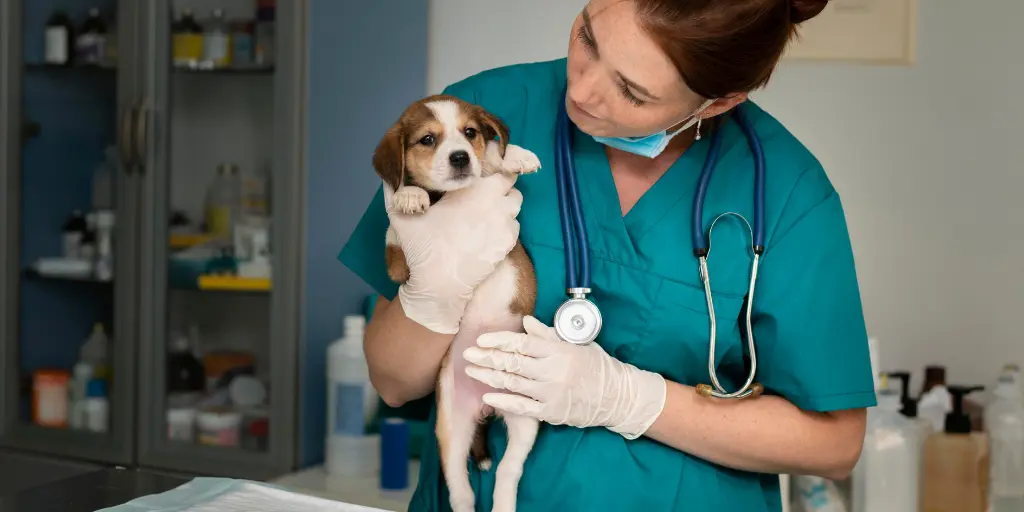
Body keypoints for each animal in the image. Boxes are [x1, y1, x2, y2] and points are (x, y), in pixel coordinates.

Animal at [370, 93, 544, 512]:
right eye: (427, 140)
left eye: (470, 133)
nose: (461, 157)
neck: (450, 197)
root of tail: (486, 406)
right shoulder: (397, 264)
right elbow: (396, 228)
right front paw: (408, 195)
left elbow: (493, 161)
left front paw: (512, 156)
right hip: (450, 428)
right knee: (459, 487)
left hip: (525, 418)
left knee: (508, 472)